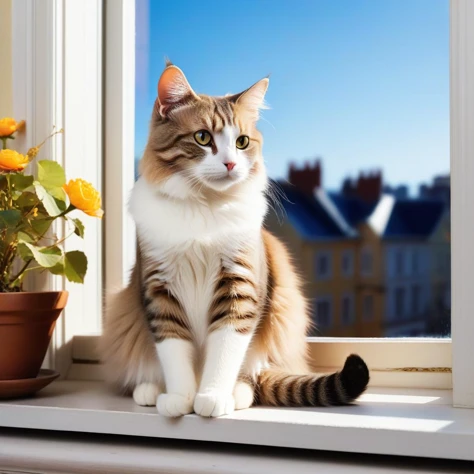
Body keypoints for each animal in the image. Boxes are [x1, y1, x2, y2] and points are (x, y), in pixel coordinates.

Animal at [98, 61, 368, 416]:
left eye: (241, 142)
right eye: (202, 137)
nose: (229, 163)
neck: (204, 207)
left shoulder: (239, 286)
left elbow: (225, 351)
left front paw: (212, 396)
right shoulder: (159, 289)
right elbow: (174, 351)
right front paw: (180, 398)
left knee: (255, 375)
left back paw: (237, 393)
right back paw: (151, 390)